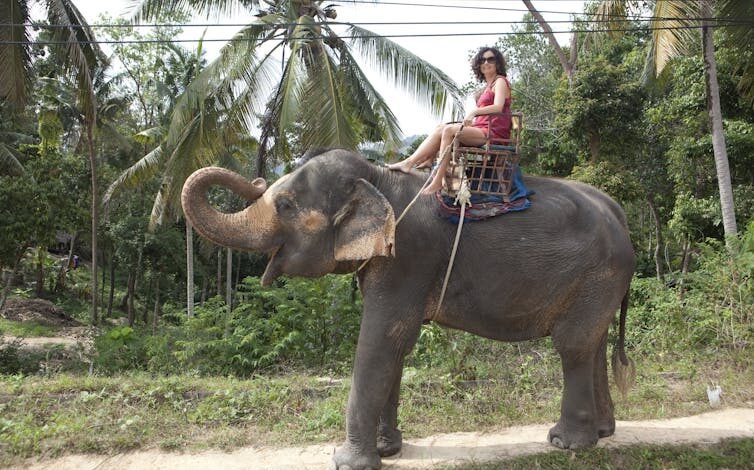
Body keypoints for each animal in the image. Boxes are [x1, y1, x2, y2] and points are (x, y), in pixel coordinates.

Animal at [182, 150, 636, 470]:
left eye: (287, 206)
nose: (257, 177)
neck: (377, 178)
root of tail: (620, 215)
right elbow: (397, 346)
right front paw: (388, 450)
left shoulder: (409, 257)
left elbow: (382, 338)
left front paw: (347, 462)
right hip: (600, 283)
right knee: (594, 343)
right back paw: (603, 432)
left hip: (597, 274)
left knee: (573, 345)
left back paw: (566, 442)